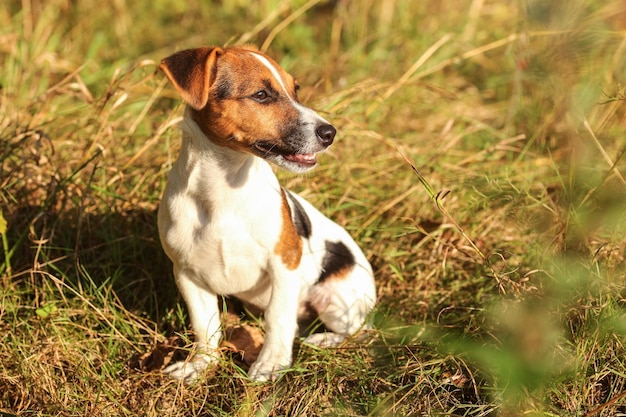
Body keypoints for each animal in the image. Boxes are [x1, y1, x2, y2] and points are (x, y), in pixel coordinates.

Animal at [156, 44, 376, 380]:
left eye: (295, 90)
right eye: (261, 95)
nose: (330, 133)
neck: (223, 189)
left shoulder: (284, 262)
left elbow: (278, 316)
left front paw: (271, 363)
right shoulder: (187, 273)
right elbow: (205, 326)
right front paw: (201, 365)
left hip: (336, 298)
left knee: (359, 331)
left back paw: (323, 340)